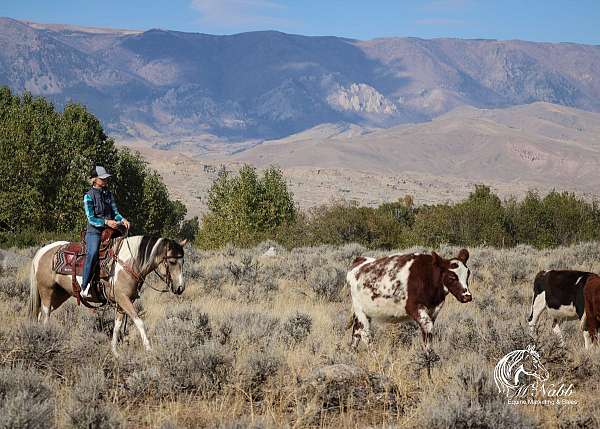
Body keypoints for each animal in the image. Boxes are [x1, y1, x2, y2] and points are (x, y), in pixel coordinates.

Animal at [28, 234, 186, 354]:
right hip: (47, 291)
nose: (180, 288)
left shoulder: (122, 303)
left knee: (41, 314)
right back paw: (45, 337)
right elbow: (139, 322)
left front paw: (114, 351)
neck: (129, 263)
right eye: (172, 261)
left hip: (60, 295)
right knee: (46, 315)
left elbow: (117, 325)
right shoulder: (123, 299)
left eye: (183, 261)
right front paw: (149, 349)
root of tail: (42, 252)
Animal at [346, 247, 474, 348]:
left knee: (356, 333)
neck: (427, 277)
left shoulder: (434, 310)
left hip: (365, 313)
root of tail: (360, 261)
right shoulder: (414, 307)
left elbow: (428, 337)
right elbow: (428, 328)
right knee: (365, 335)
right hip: (360, 310)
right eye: (452, 277)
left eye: (468, 274)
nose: (467, 296)